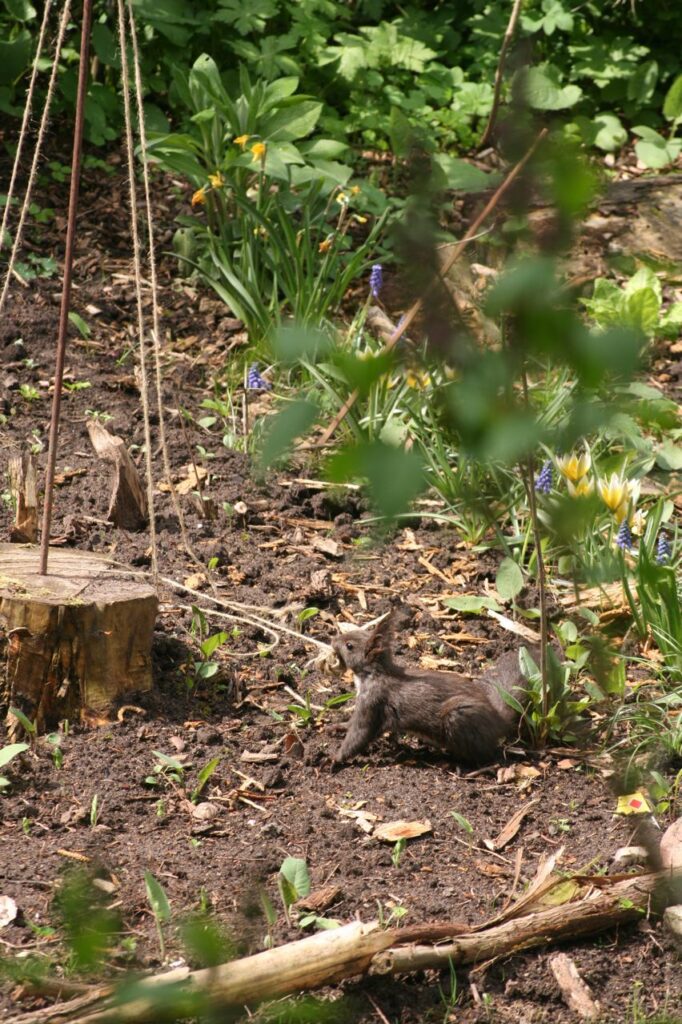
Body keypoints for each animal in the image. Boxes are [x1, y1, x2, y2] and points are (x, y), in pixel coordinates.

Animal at [331, 614, 533, 766]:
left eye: (349, 646)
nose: (333, 640)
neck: (372, 675)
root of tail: (499, 722)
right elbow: (352, 724)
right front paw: (338, 726)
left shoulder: (374, 702)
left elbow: (359, 734)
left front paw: (334, 759)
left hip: (459, 718)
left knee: (485, 755)